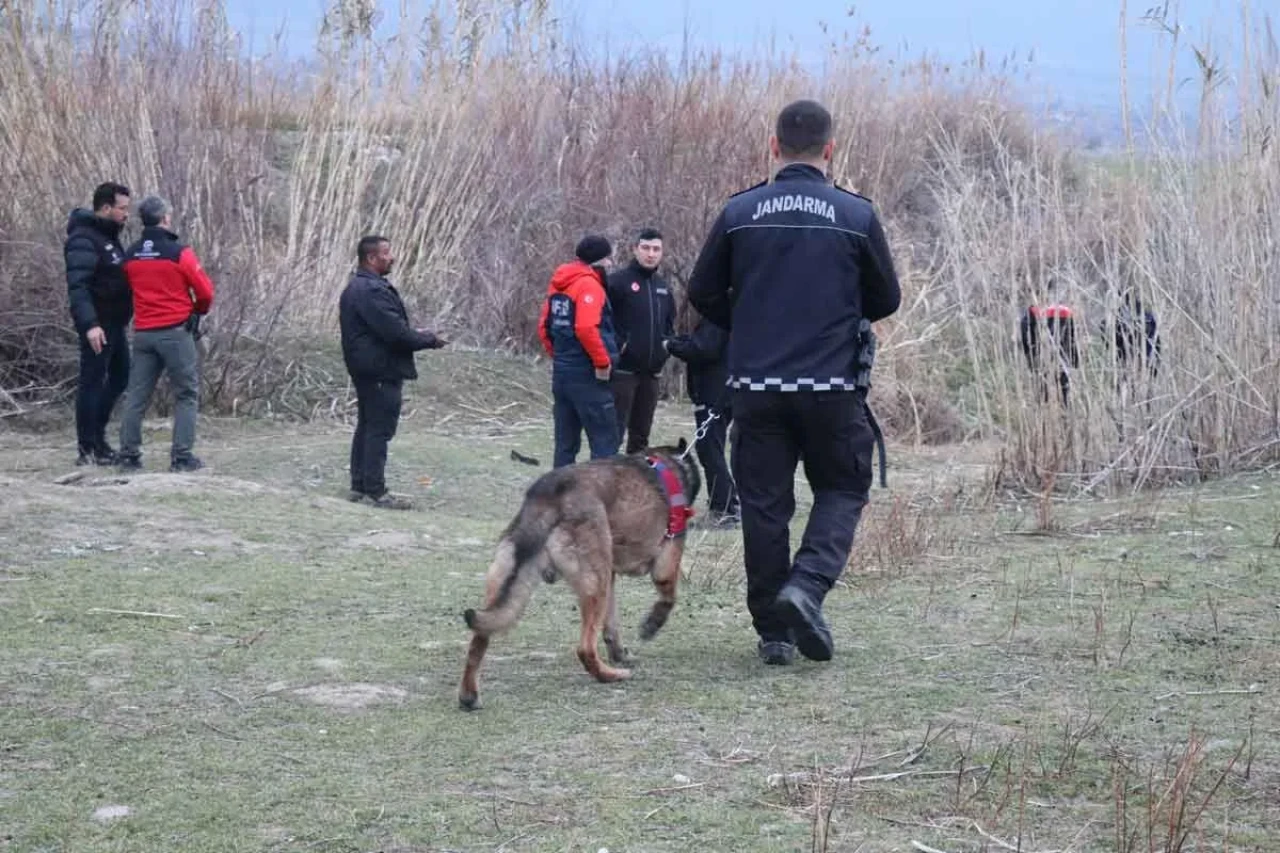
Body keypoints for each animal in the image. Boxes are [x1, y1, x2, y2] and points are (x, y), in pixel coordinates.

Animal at [458, 440, 701, 706]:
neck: (672, 461)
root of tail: (550, 496)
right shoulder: (665, 562)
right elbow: (668, 597)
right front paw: (651, 625)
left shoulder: (611, 576)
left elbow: (611, 625)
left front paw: (620, 652)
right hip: (595, 583)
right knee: (584, 648)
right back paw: (611, 676)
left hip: (508, 576)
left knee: (480, 635)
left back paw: (469, 696)